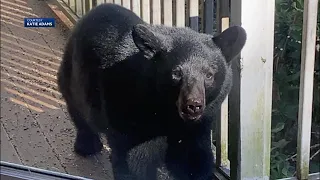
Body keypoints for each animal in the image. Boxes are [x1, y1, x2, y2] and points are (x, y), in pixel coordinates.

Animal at [57, 2, 246, 180]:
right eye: (176, 73)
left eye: (209, 75)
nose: (193, 105)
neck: (166, 111)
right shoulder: (130, 112)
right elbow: (135, 161)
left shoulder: (198, 125)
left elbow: (193, 159)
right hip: (74, 74)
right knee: (77, 107)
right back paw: (87, 145)